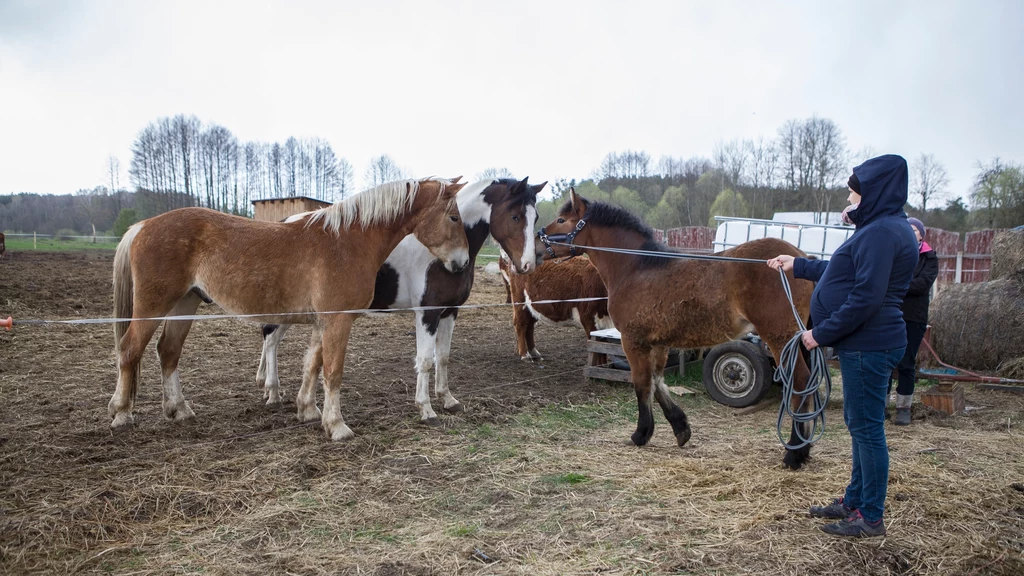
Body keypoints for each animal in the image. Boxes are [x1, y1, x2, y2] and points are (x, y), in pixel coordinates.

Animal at [256, 177, 544, 424]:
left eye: (536, 217)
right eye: (515, 216)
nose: (528, 265)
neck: (438, 258)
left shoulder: (450, 311)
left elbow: (443, 357)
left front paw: (448, 399)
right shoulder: (427, 313)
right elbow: (425, 360)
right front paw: (426, 410)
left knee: (272, 338)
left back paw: (270, 389)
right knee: (271, 339)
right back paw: (272, 392)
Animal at [536, 188, 815, 467]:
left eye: (561, 220)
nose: (537, 246)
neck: (636, 268)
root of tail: (800, 257)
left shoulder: (633, 341)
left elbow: (642, 383)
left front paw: (641, 434)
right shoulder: (659, 343)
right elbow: (658, 382)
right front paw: (681, 428)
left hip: (780, 337)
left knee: (799, 380)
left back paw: (794, 453)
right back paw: (803, 448)